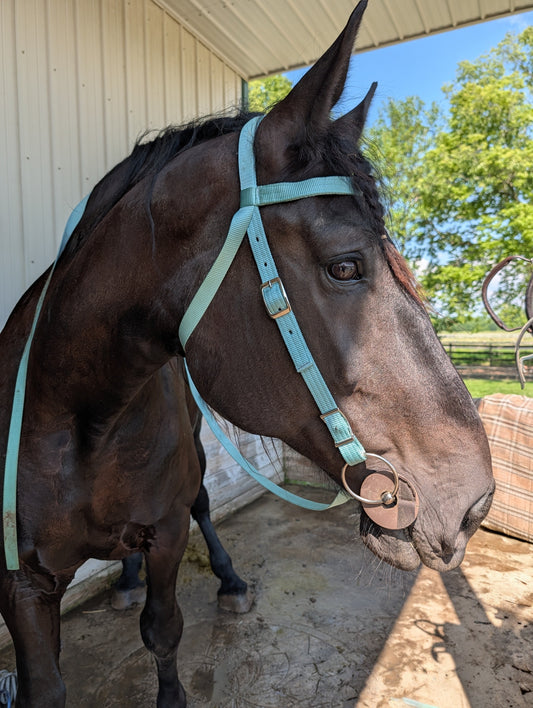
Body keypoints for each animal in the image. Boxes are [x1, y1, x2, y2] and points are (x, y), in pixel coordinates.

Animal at [0, 2, 494, 706]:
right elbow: (47, 684)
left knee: (204, 505)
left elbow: (164, 630)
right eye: (346, 265)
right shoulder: (22, 584)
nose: (474, 504)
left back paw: (224, 581)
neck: (74, 411)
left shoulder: (166, 531)